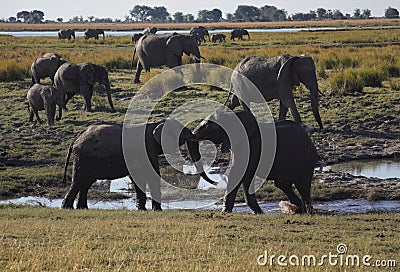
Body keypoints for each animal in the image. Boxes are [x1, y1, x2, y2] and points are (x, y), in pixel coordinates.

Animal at [61, 118, 216, 209]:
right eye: (183, 133)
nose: (216, 183)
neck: (155, 124)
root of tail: (76, 138)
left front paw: (143, 209)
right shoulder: (145, 149)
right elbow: (150, 176)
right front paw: (155, 210)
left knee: (85, 183)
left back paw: (81, 208)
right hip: (84, 157)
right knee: (79, 181)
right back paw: (67, 208)